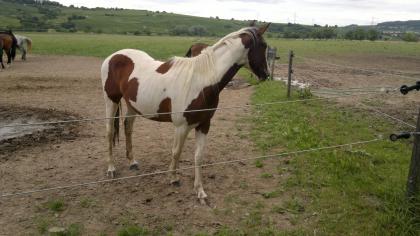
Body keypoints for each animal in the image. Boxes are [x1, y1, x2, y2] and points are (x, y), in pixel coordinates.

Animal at [102, 23, 272, 202]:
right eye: (263, 45)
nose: (266, 75)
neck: (201, 82)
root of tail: (113, 56)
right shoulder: (181, 127)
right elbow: (176, 152)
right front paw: (173, 178)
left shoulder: (204, 125)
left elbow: (198, 156)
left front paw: (200, 191)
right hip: (111, 101)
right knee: (109, 132)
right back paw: (111, 169)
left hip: (132, 105)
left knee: (128, 128)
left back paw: (132, 162)